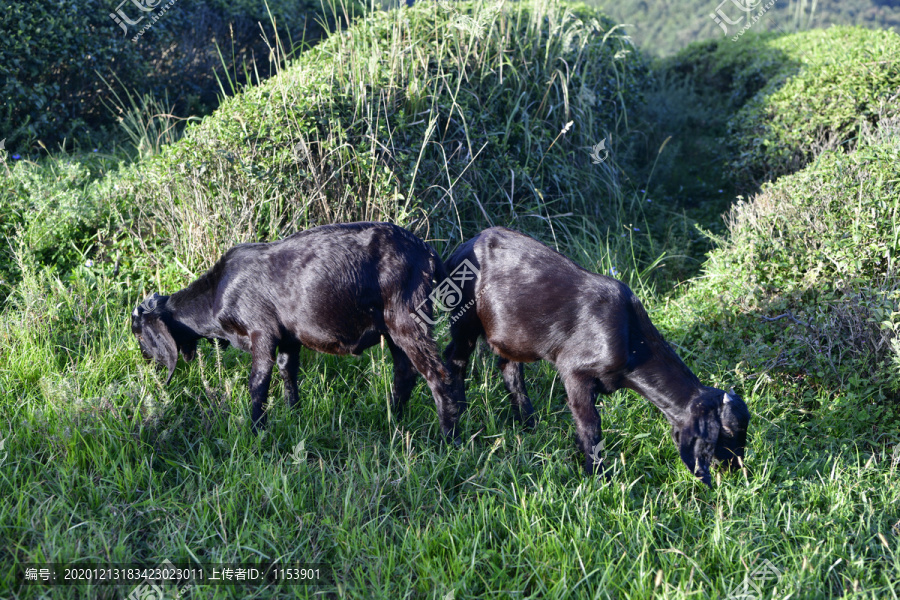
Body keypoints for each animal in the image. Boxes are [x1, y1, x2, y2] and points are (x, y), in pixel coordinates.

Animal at [132, 223, 464, 438]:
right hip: (392, 328)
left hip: (407, 319)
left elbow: (258, 382)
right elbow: (287, 373)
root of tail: (427, 252)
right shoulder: (289, 338)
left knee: (438, 374)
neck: (215, 295)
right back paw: (394, 420)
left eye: (138, 333)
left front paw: (256, 431)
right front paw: (295, 417)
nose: (146, 365)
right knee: (404, 373)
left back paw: (447, 439)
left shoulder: (261, 332)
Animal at [444, 227, 752, 486]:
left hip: (511, 337)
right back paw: (454, 427)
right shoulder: (574, 371)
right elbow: (590, 425)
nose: (737, 468)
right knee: (454, 360)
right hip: (464, 320)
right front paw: (597, 477)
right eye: (727, 432)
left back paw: (529, 424)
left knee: (509, 368)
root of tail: (463, 248)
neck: (631, 340)